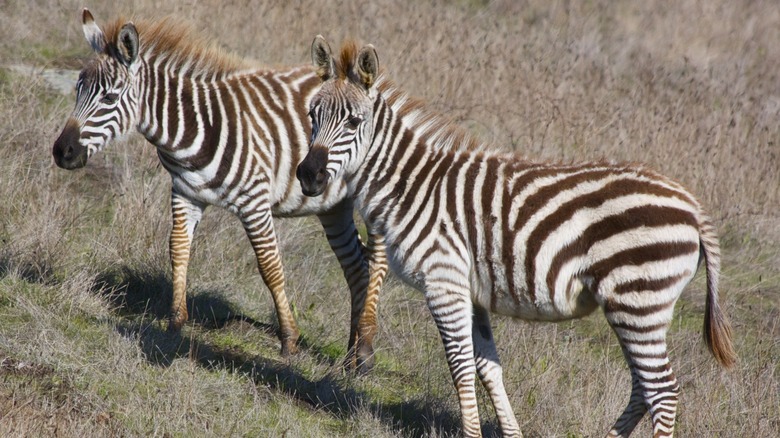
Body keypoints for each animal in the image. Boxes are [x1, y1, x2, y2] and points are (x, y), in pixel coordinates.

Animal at [51, 10, 386, 372]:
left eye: (109, 98)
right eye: (77, 90)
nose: (62, 152)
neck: (193, 130)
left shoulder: (254, 202)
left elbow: (270, 267)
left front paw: (289, 340)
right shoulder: (185, 193)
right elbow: (178, 250)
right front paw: (175, 324)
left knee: (377, 262)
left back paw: (366, 349)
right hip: (333, 206)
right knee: (357, 267)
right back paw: (350, 355)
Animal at [294, 37, 736, 438]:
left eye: (354, 122)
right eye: (312, 113)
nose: (308, 175)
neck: (413, 183)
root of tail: (693, 206)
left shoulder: (443, 281)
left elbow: (459, 367)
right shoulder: (470, 290)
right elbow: (487, 367)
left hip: (638, 301)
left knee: (662, 392)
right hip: (636, 307)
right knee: (644, 388)